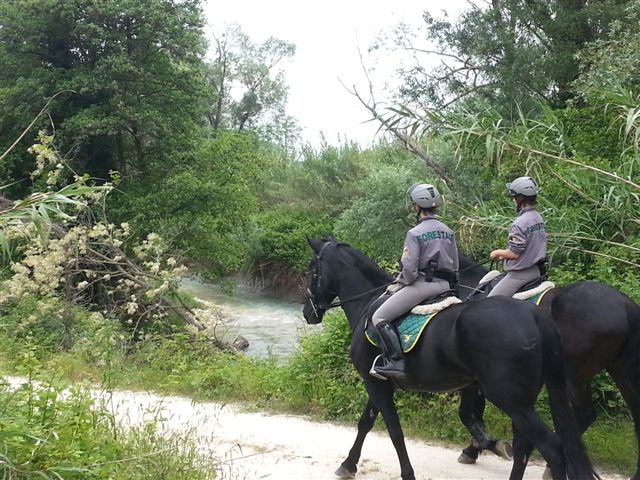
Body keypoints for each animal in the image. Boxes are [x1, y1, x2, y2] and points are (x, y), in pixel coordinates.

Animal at [302, 238, 596, 480]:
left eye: (312, 272)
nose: (308, 312)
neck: (369, 303)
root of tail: (534, 315)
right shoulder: (379, 381)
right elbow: (366, 422)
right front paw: (348, 465)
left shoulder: (374, 382)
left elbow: (394, 430)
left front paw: (407, 474)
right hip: (523, 401)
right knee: (526, 445)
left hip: (512, 400)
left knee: (552, 448)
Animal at [458, 253, 640, 478]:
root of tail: (626, 305)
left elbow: (470, 414)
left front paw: (474, 449)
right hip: (620, 371)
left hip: (574, 374)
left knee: (584, 414)